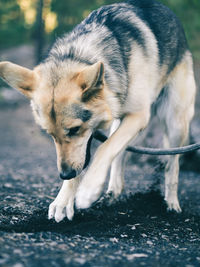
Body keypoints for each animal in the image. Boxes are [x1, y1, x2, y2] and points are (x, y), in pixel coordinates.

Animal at [0, 0, 197, 222]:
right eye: (49, 134)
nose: (64, 174)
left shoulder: (138, 116)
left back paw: (171, 203)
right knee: (121, 154)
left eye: (74, 129)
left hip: (175, 123)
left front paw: (89, 189)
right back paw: (114, 192)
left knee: (172, 163)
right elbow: (100, 154)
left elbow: (105, 149)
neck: (81, 55)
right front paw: (63, 201)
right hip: (125, 123)